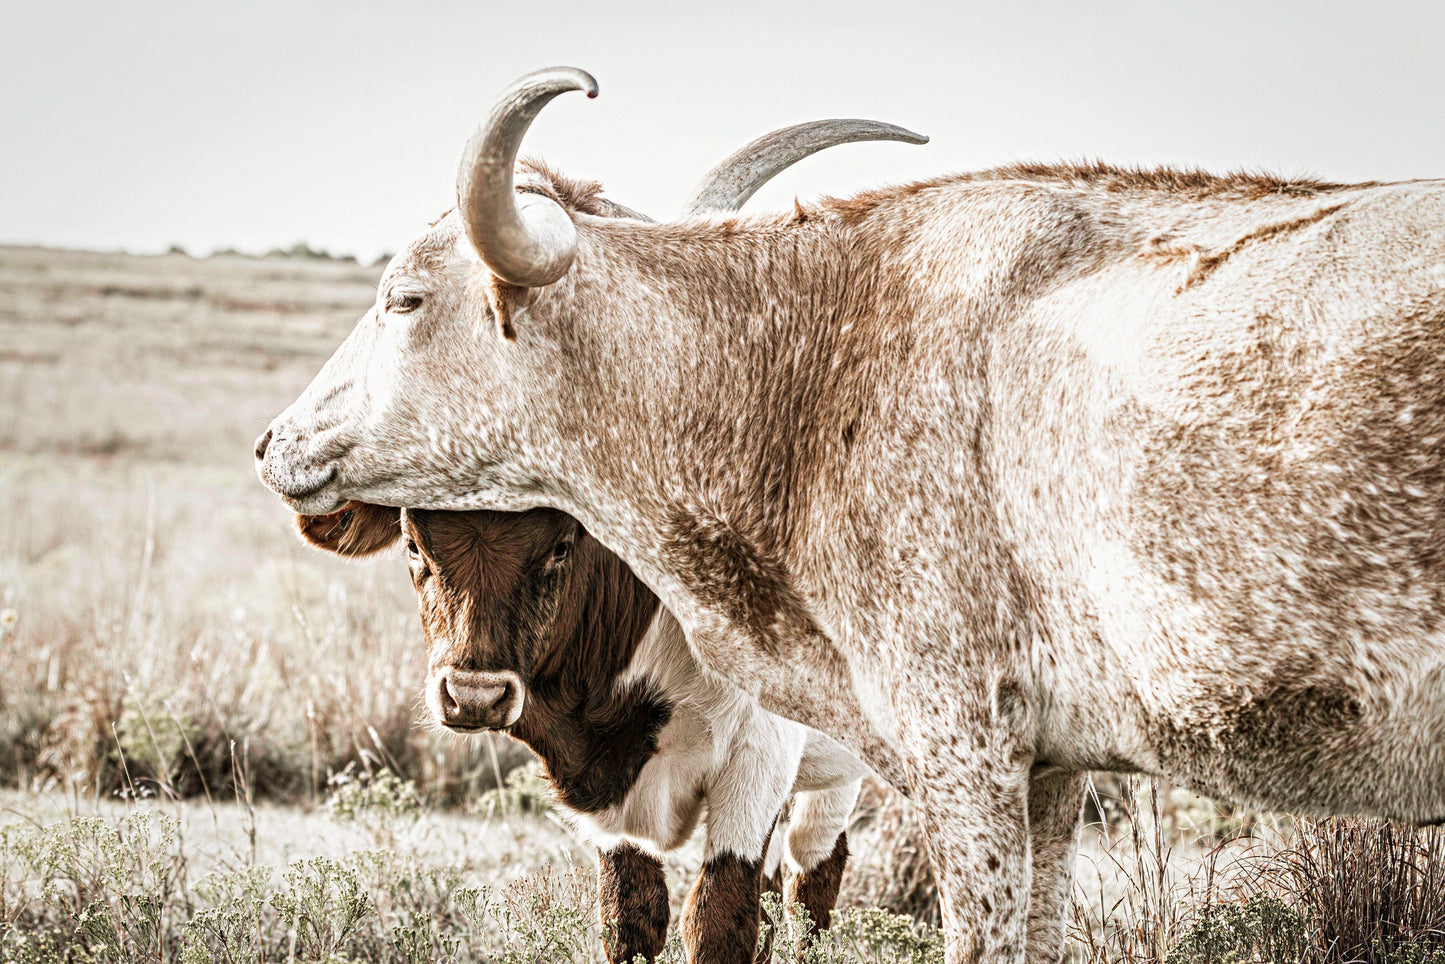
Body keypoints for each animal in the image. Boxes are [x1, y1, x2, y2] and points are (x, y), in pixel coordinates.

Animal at [260, 63, 1445, 959]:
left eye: (404, 297)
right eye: (415, 551)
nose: (274, 443)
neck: (818, 360)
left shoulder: (955, 747)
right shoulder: (1052, 767)